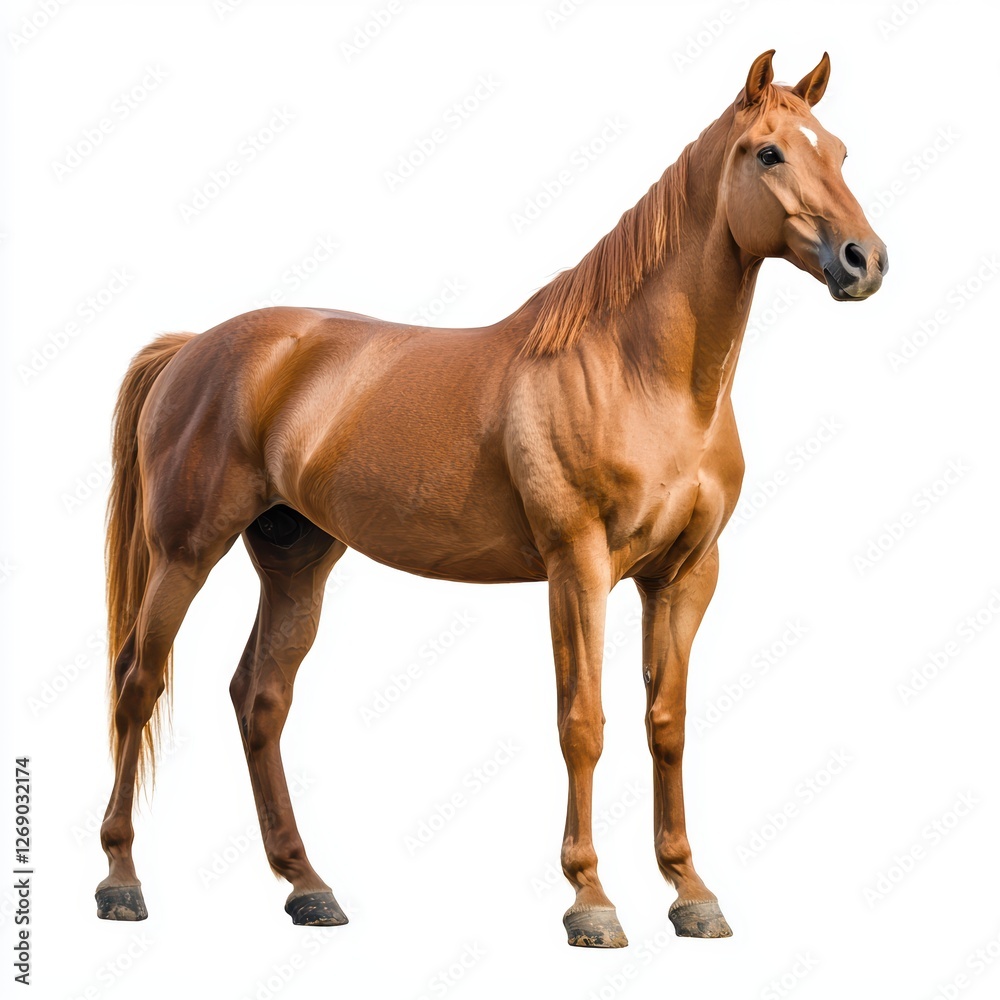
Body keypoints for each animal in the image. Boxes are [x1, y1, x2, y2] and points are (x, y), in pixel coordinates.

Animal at [96, 50, 887, 946]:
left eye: (842, 152)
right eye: (769, 153)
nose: (864, 261)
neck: (638, 372)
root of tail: (193, 346)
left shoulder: (684, 576)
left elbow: (668, 725)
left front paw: (691, 893)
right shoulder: (577, 566)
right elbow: (583, 723)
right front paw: (591, 900)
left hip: (295, 559)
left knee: (259, 699)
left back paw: (308, 888)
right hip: (186, 552)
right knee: (138, 682)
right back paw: (121, 882)